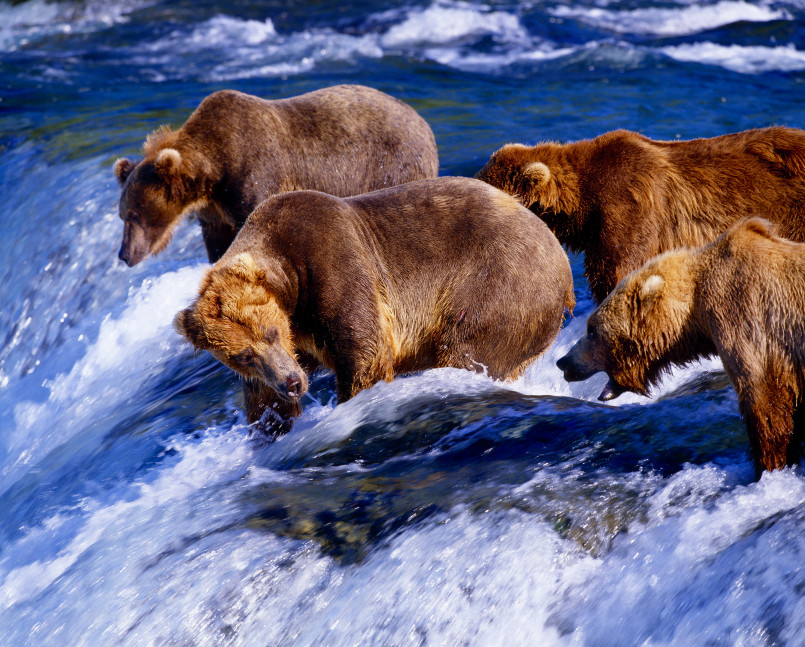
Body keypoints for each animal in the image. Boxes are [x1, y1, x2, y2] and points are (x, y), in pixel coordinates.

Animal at [113, 84, 439, 267]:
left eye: (134, 214)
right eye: (123, 215)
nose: (124, 254)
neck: (214, 170)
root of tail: (424, 123)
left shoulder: (256, 174)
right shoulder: (215, 213)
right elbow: (218, 245)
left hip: (389, 165)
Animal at [174, 176, 575, 427]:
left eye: (271, 332)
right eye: (242, 356)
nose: (292, 382)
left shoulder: (333, 261)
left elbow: (365, 350)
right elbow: (261, 397)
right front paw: (271, 425)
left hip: (500, 285)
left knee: (467, 349)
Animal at [556, 217, 805, 476]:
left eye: (591, 329)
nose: (563, 361)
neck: (696, 312)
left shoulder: (751, 326)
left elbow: (766, 406)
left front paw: (769, 466)